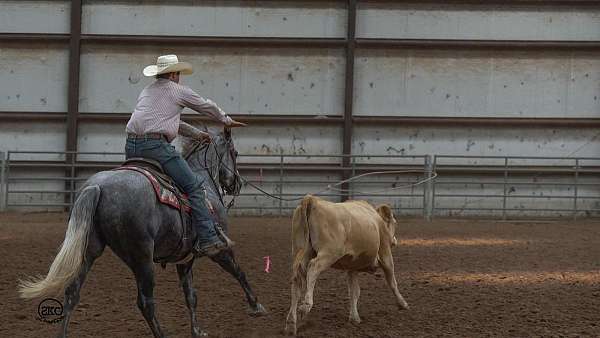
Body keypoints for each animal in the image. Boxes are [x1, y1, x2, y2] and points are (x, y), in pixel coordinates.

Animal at [17, 127, 266, 338]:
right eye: (235, 152)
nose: (237, 183)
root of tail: (98, 187)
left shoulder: (184, 259)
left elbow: (191, 296)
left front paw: (197, 331)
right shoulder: (220, 249)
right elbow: (239, 272)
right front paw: (256, 306)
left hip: (88, 250)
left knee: (72, 292)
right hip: (142, 257)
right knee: (145, 302)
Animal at [284, 195, 408, 336]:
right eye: (394, 223)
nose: (395, 241)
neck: (377, 221)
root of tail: (312, 200)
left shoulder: (352, 268)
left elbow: (354, 292)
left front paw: (354, 317)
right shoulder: (386, 254)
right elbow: (392, 282)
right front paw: (402, 303)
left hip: (301, 251)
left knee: (297, 280)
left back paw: (291, 322)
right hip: (329, 253)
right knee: (313, 267)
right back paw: (306, 305)